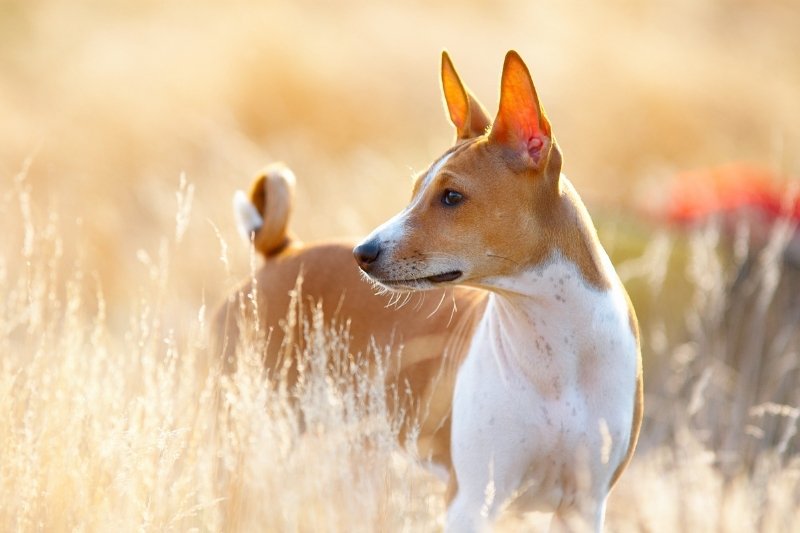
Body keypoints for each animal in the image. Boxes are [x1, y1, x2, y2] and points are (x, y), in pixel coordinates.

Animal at [217, 51, 644, 532]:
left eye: (452, 196)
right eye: (416, 189)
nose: (363, 252)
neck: (555, 355)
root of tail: (283, 252)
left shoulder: (583, 506)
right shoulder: (471, 500)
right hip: (250, 436)